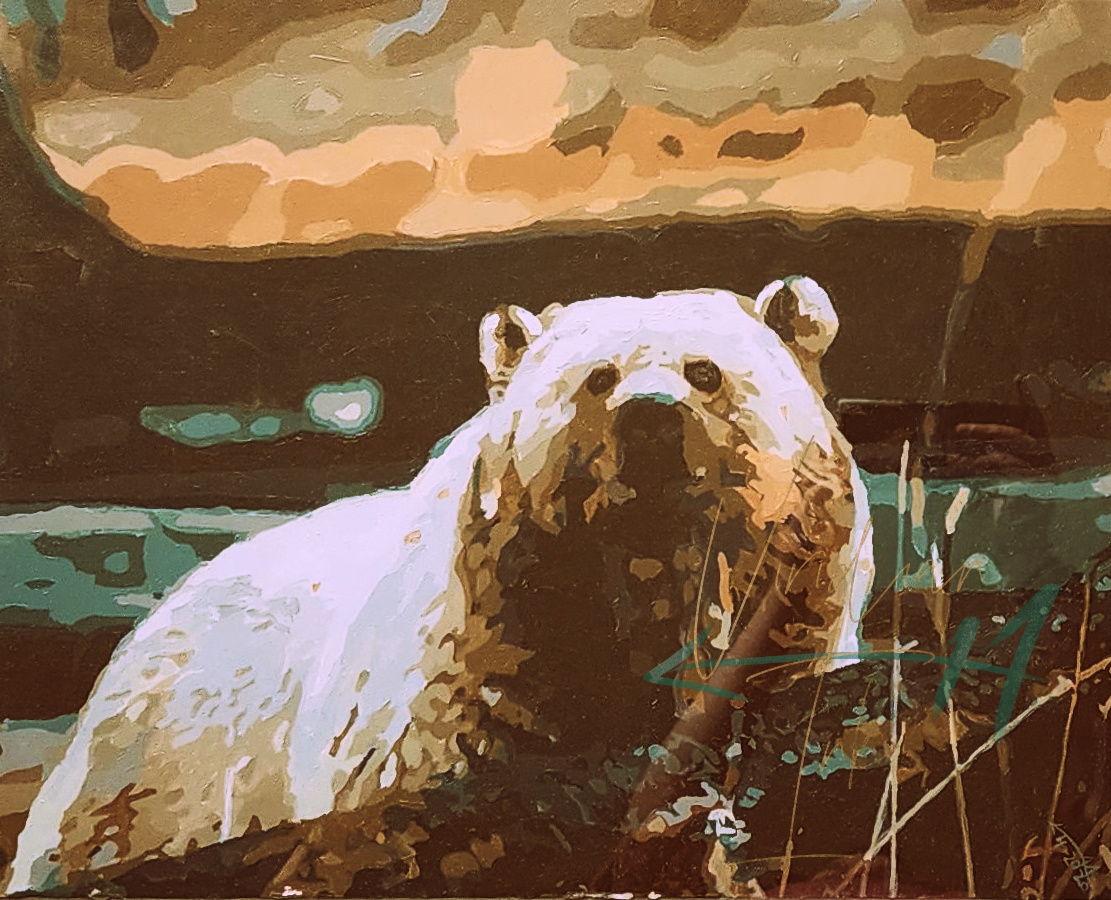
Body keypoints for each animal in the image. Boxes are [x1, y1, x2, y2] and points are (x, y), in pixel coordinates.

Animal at [5, 278, 874, 898]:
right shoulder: (457, 692)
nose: (651, 419)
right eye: (598, 378)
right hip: (156, 774)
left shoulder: (780, 641)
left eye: (704, 372)